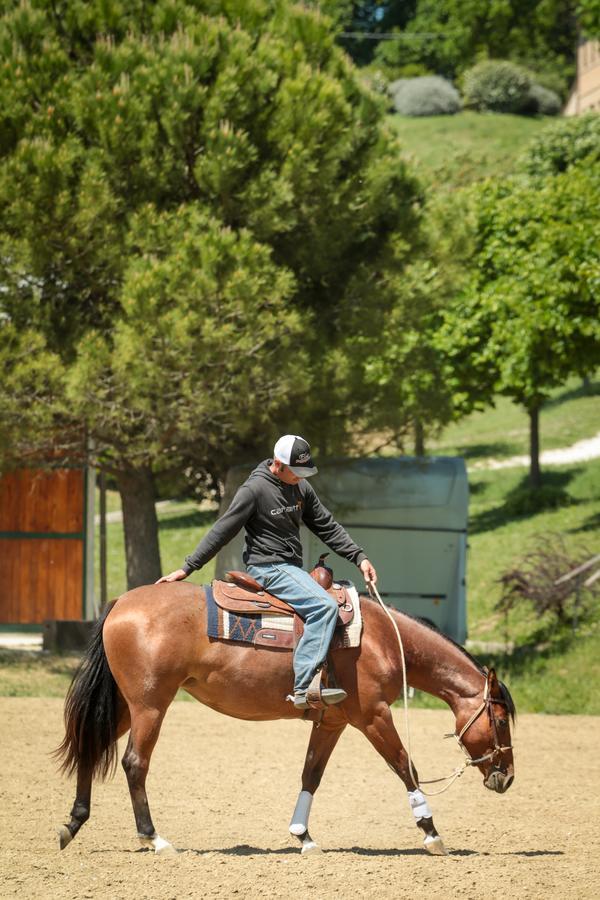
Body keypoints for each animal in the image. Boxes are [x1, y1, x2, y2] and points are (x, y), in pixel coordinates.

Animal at [56, 580, 516, 856]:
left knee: (91, 747)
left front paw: (303, 836)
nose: (507, 778)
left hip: (124, 706)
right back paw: (153, 837)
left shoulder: (332, 722)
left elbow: (311, 774)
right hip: (150, 705)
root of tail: (122, 603)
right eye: (500, 720)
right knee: (135, 763)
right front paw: (431, 833)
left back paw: (73, 824)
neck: (381, 638)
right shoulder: (373, 716)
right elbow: (406, 766)